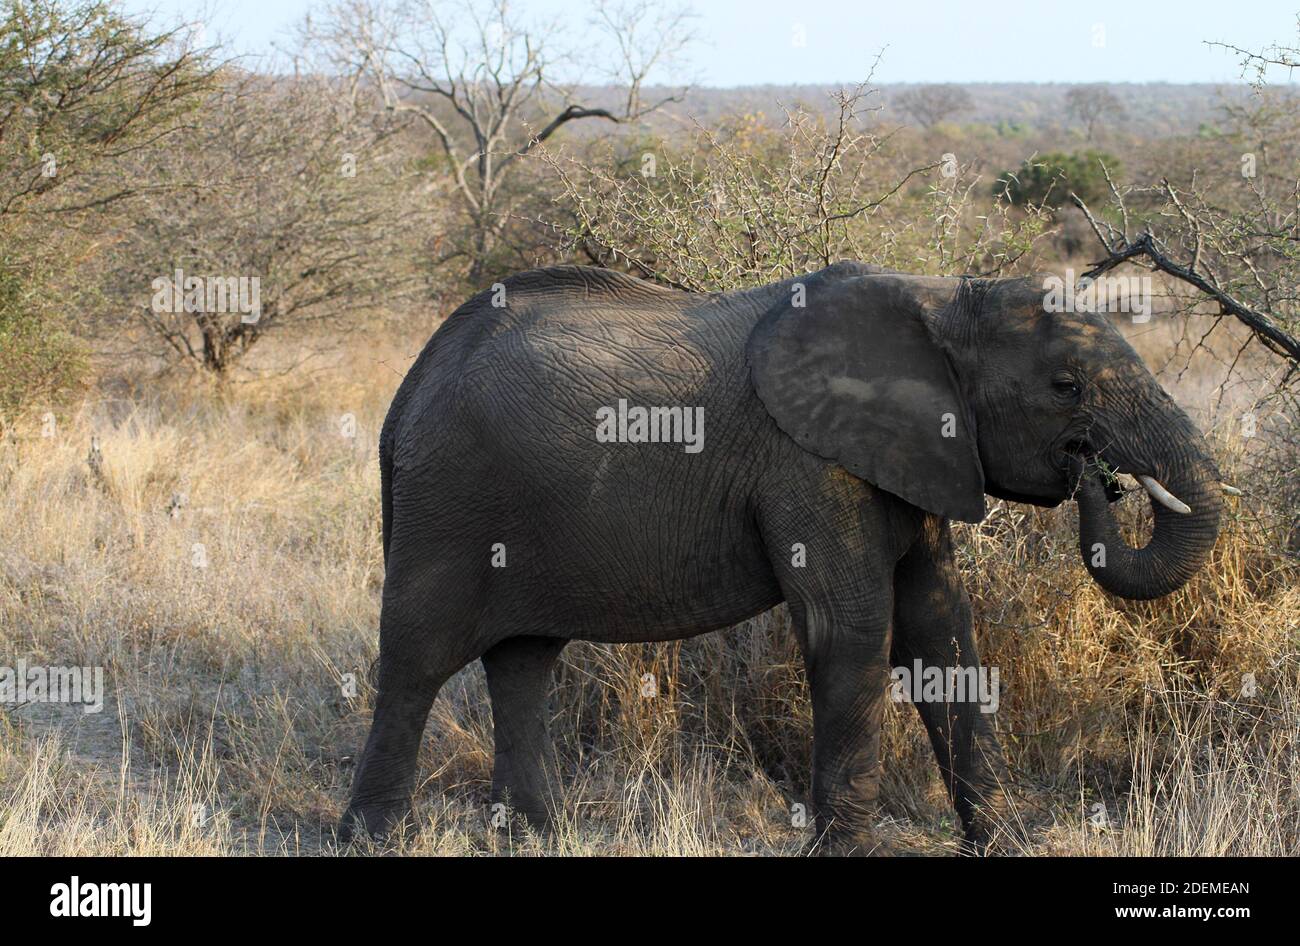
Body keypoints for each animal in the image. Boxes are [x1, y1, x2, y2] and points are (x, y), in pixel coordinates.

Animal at [339, 261, 1222, 854]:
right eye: (1067, 386)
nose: (1097, 475)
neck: (939, 303)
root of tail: (407, 390)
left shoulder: (918, 455)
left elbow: (942, 631)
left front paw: (1003, 845)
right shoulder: (808, 464)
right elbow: (854, 632)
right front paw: (846, 853)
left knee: (523, 660)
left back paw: (538, 838)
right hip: (446, 501)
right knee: (416, 660)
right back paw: (368, 838)